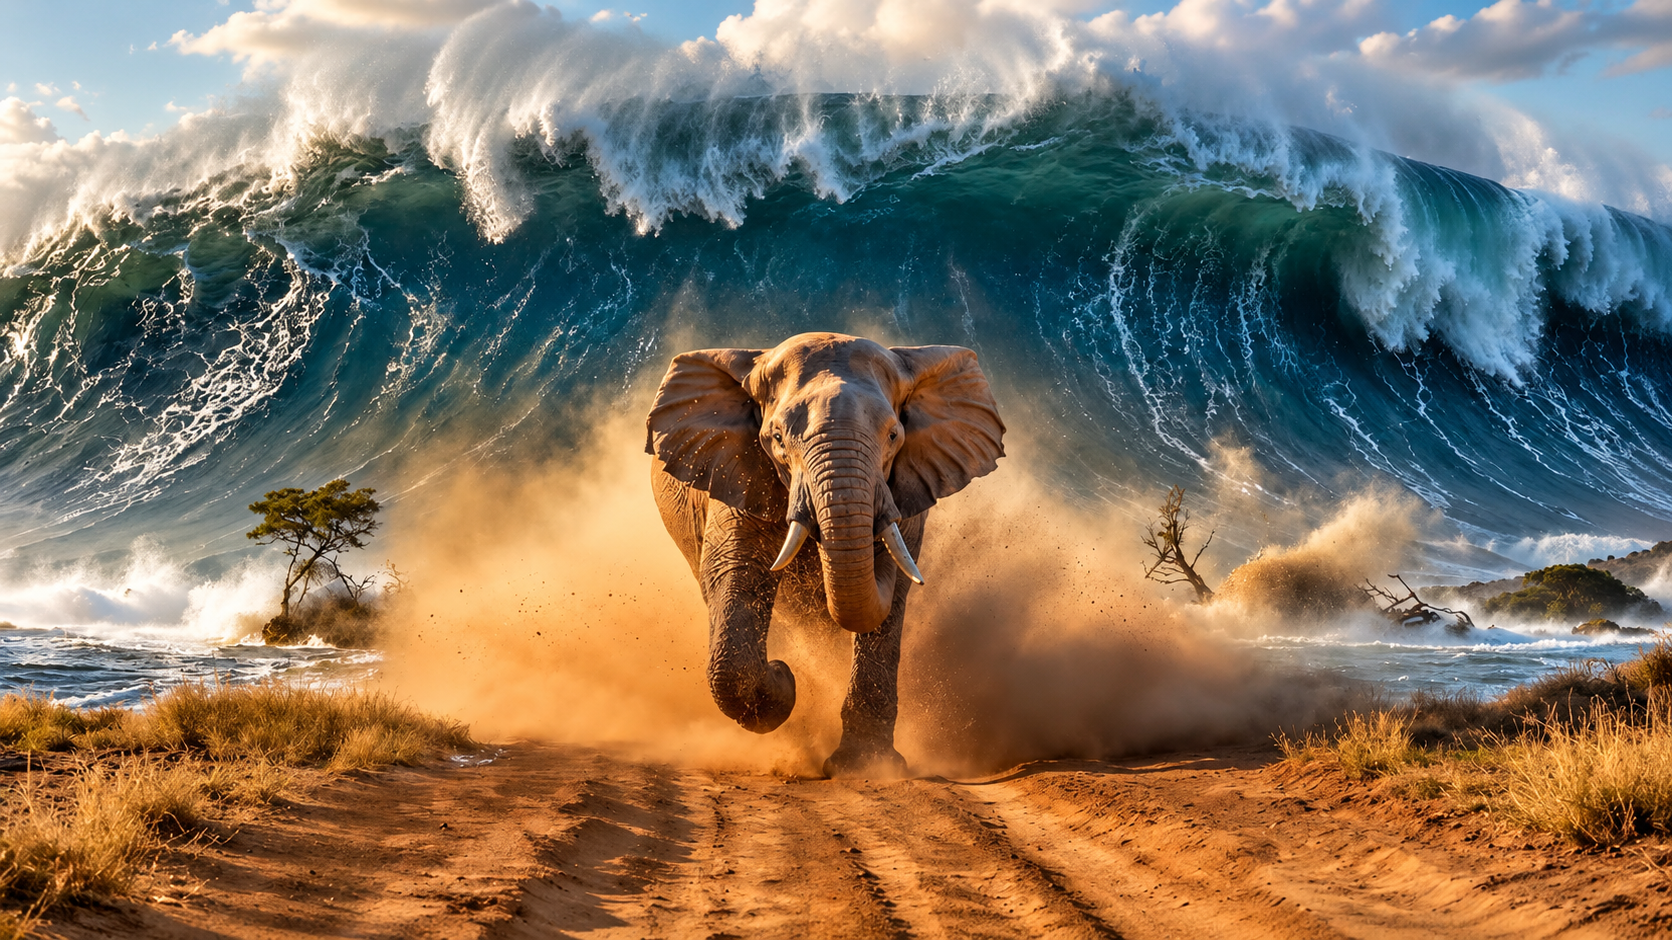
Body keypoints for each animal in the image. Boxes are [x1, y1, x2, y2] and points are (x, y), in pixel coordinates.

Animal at [646, 332, 1006, 777]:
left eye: (894, 436)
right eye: (777, 439)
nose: (779, 668)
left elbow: (891, 598)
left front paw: (865, 768)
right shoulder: (740, 470)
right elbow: (736, 571)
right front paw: (784, 682)